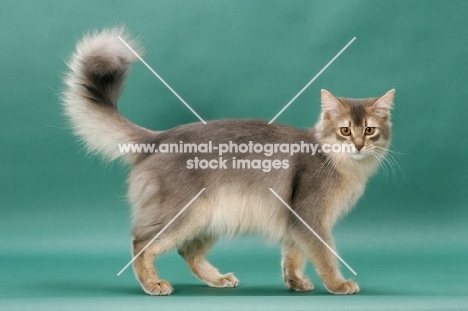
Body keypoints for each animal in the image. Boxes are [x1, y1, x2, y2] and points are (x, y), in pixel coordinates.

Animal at [63, 29, 394, 298]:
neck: (344, 165)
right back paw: (153, 284)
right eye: (345, 131)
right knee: (140, 241)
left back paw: (218, 279)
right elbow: (325, 255)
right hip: (184, 214)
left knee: (186, 250)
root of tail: (158, 137)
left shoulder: (294, 220)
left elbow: (293, 254)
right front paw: (338, 284)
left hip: (209, 217)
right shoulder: (310, 217)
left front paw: (295, 282)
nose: (358, 145)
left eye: (369, 130)